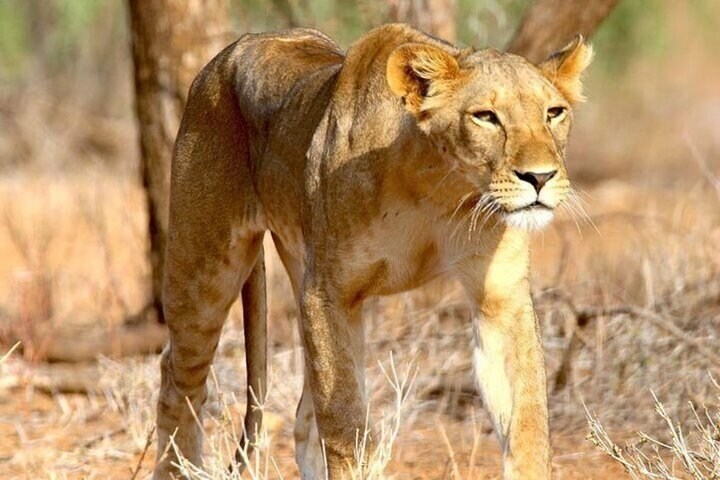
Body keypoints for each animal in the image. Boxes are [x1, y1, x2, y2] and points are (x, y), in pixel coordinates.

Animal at [153, 23, 592, 480]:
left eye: (554, 113)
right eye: (486, 117)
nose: (540, 177)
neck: (440, 187)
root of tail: (241, 43)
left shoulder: (501, 298)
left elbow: (527, 421)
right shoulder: (327, 292)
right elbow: (347, 428)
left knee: (304, 419)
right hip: (205, 268)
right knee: (178, 381)